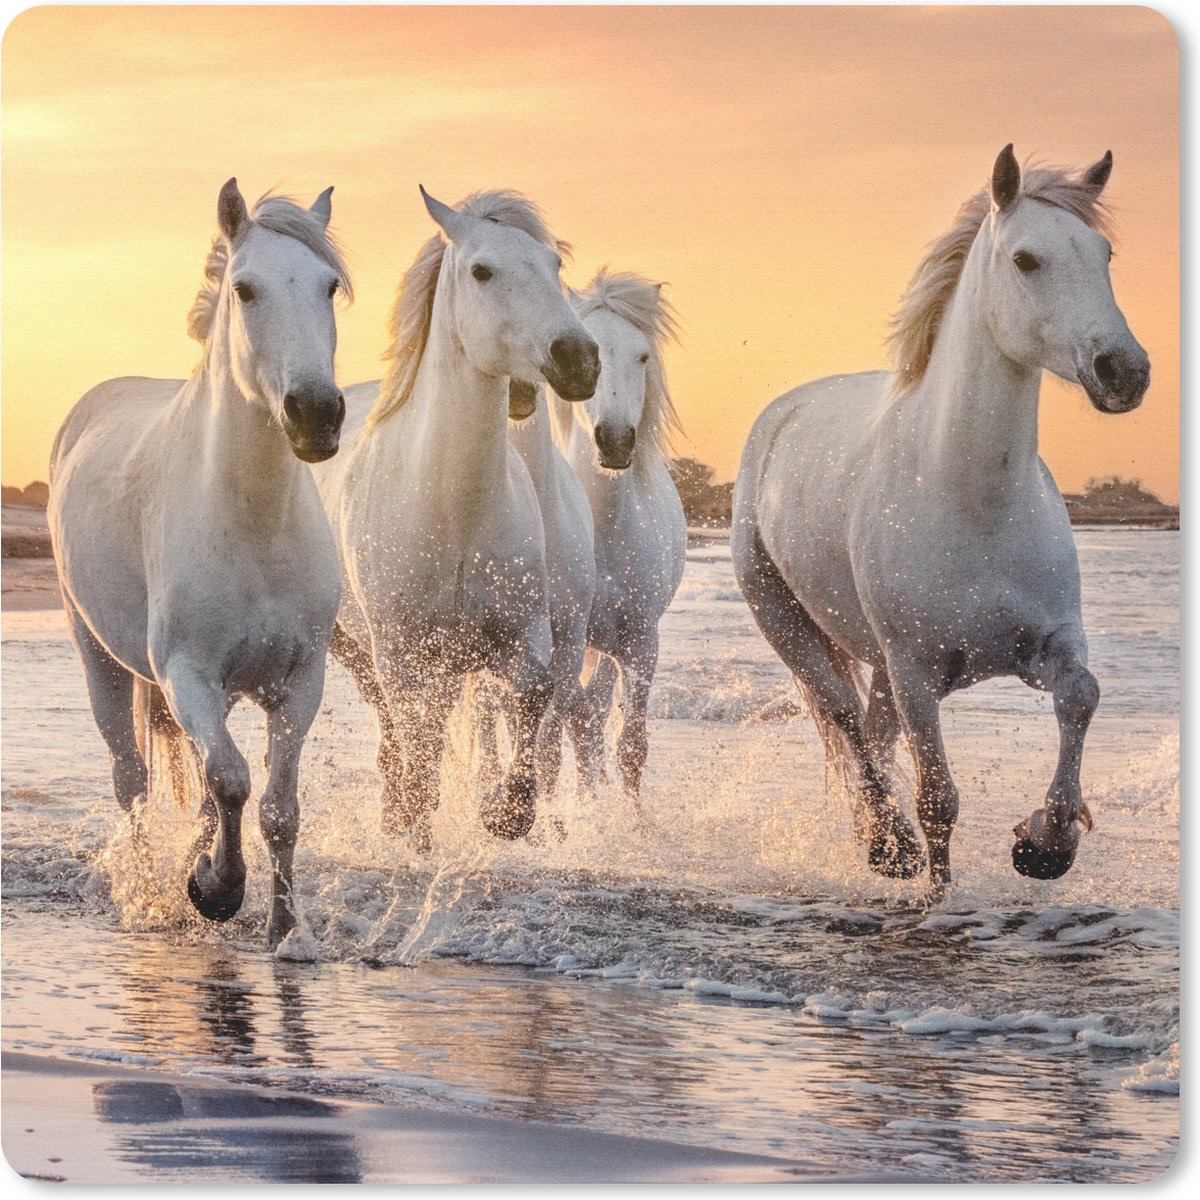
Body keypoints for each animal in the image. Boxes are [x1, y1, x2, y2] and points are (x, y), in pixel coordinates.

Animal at [49, 180, 351, 947]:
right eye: (245, 289)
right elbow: (234, 781)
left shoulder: (299, 681)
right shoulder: (186, 673)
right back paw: (152, 893)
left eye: (329, 286)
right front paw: (216, 891)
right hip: (99, 657)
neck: (252, 522)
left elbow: (275, 806)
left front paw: (283, 929)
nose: (316, 413)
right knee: (132, 780)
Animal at [312, 188, 600, 852]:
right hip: (358, 649)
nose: (579, 358)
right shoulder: (401, 653)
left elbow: (533, 700)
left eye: (554, 266)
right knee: (399, 734)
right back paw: (398, 818)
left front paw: (505, 814)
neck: (454, 511)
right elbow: (418, 746)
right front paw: (417, 829)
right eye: (482, 271)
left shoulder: (524, 638)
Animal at [553, 270, 687, 800]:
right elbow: (577, 728)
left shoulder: (641, 642)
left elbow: (630, 745)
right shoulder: (562, 644)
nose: (614, 441)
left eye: (643, 356)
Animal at [732, 145, 1150, 893]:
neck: (973, 502)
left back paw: (876, 841)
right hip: (789, 624)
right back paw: (888, 845)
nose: (1123, 371)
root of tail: (781, 415)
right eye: (1025, 259)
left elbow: (1082, 696)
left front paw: (1045, 843)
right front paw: (939, 891)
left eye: (1103, 252)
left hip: (878, 666)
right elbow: (938, 800)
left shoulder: (1046, 644)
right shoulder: (918, 672)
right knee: (844, 719)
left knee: (871, 734)